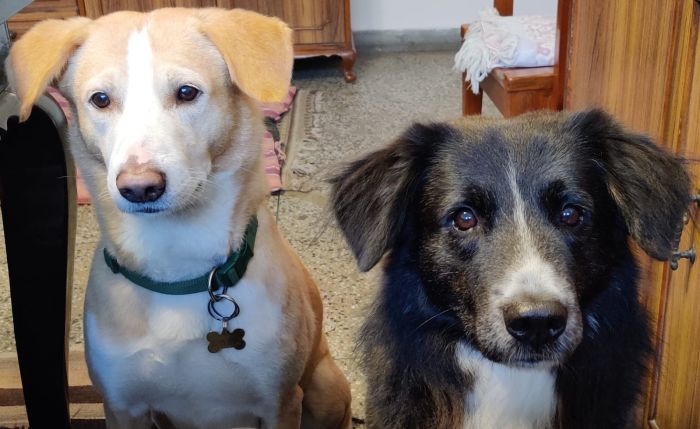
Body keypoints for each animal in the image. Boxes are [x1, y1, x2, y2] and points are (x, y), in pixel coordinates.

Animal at [6, 7, 352, 428]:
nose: (140, 188)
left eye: (187, 92)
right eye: (100, 99)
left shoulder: (280, 403)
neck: (179, 267)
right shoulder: (122, 407)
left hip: (324, 385)